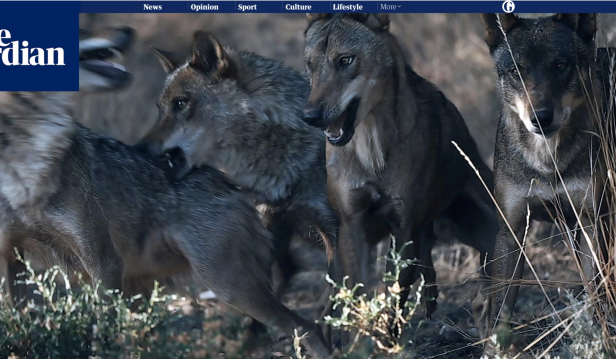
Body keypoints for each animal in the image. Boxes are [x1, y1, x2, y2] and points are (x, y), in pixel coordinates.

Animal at [304, 12, 500, 324]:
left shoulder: (402, 227)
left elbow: (391, 303)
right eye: (310, 64)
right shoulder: (352, 224)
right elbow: (360, 297)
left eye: (345, 60)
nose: (310, 116)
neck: (371, 147)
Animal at [482, 12, 616, 346]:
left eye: (560, 64)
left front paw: (599, 339)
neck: (548, 163)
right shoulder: (512, 229)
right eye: (516, 70)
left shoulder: (592, 223)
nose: (540, 118)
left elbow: (595, 298)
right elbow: (498, 312)